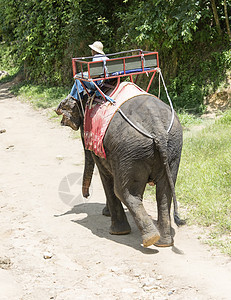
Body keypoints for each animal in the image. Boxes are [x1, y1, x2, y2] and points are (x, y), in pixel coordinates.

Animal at [56, 91, 186, 248]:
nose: (86, 195)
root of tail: (159, 129)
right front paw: (107, 214)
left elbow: (106, 177)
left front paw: (114, 227)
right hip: (170, 147)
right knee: (164, 192)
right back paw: (163, 243)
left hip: (131, 150)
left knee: (123, 191)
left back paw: (150, 238)